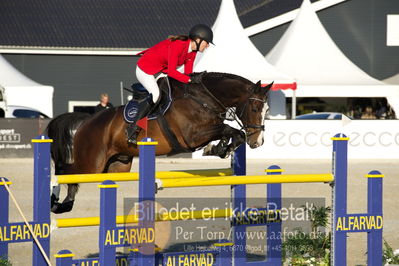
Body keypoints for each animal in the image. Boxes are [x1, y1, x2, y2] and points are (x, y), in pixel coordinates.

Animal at [46, 71, 272, 213]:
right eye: (254, 108)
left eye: (267, 110)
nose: (258, 142)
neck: (203, 99)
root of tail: (87, 120)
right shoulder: (192, 136)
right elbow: (229, 129)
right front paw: (218, 147)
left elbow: (233, 133)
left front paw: (220, 148)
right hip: (92, 164)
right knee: (65, 171)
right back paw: (56, 200)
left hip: (116, 166)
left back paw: (64, 204)